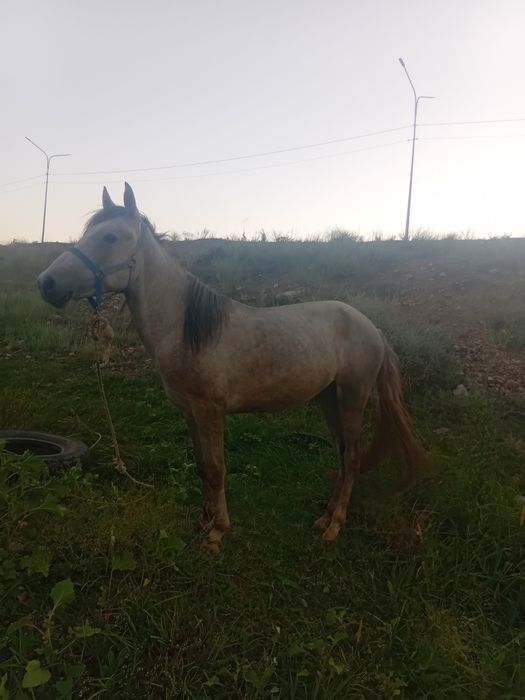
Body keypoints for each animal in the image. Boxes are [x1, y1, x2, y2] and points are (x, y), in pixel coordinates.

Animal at [38, 183, 426, 551]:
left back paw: (334, 527)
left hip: (351, 399)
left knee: (354, 459)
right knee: (345, 458)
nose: (47, 283)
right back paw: (325, 518)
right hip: (329, 401)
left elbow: (216, 468)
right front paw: (203, 522)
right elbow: (201, 466)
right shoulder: (190, 412)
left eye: (110, 237)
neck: (188, 329)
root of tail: (372, 328)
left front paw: (217, 532)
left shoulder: (211, 410)